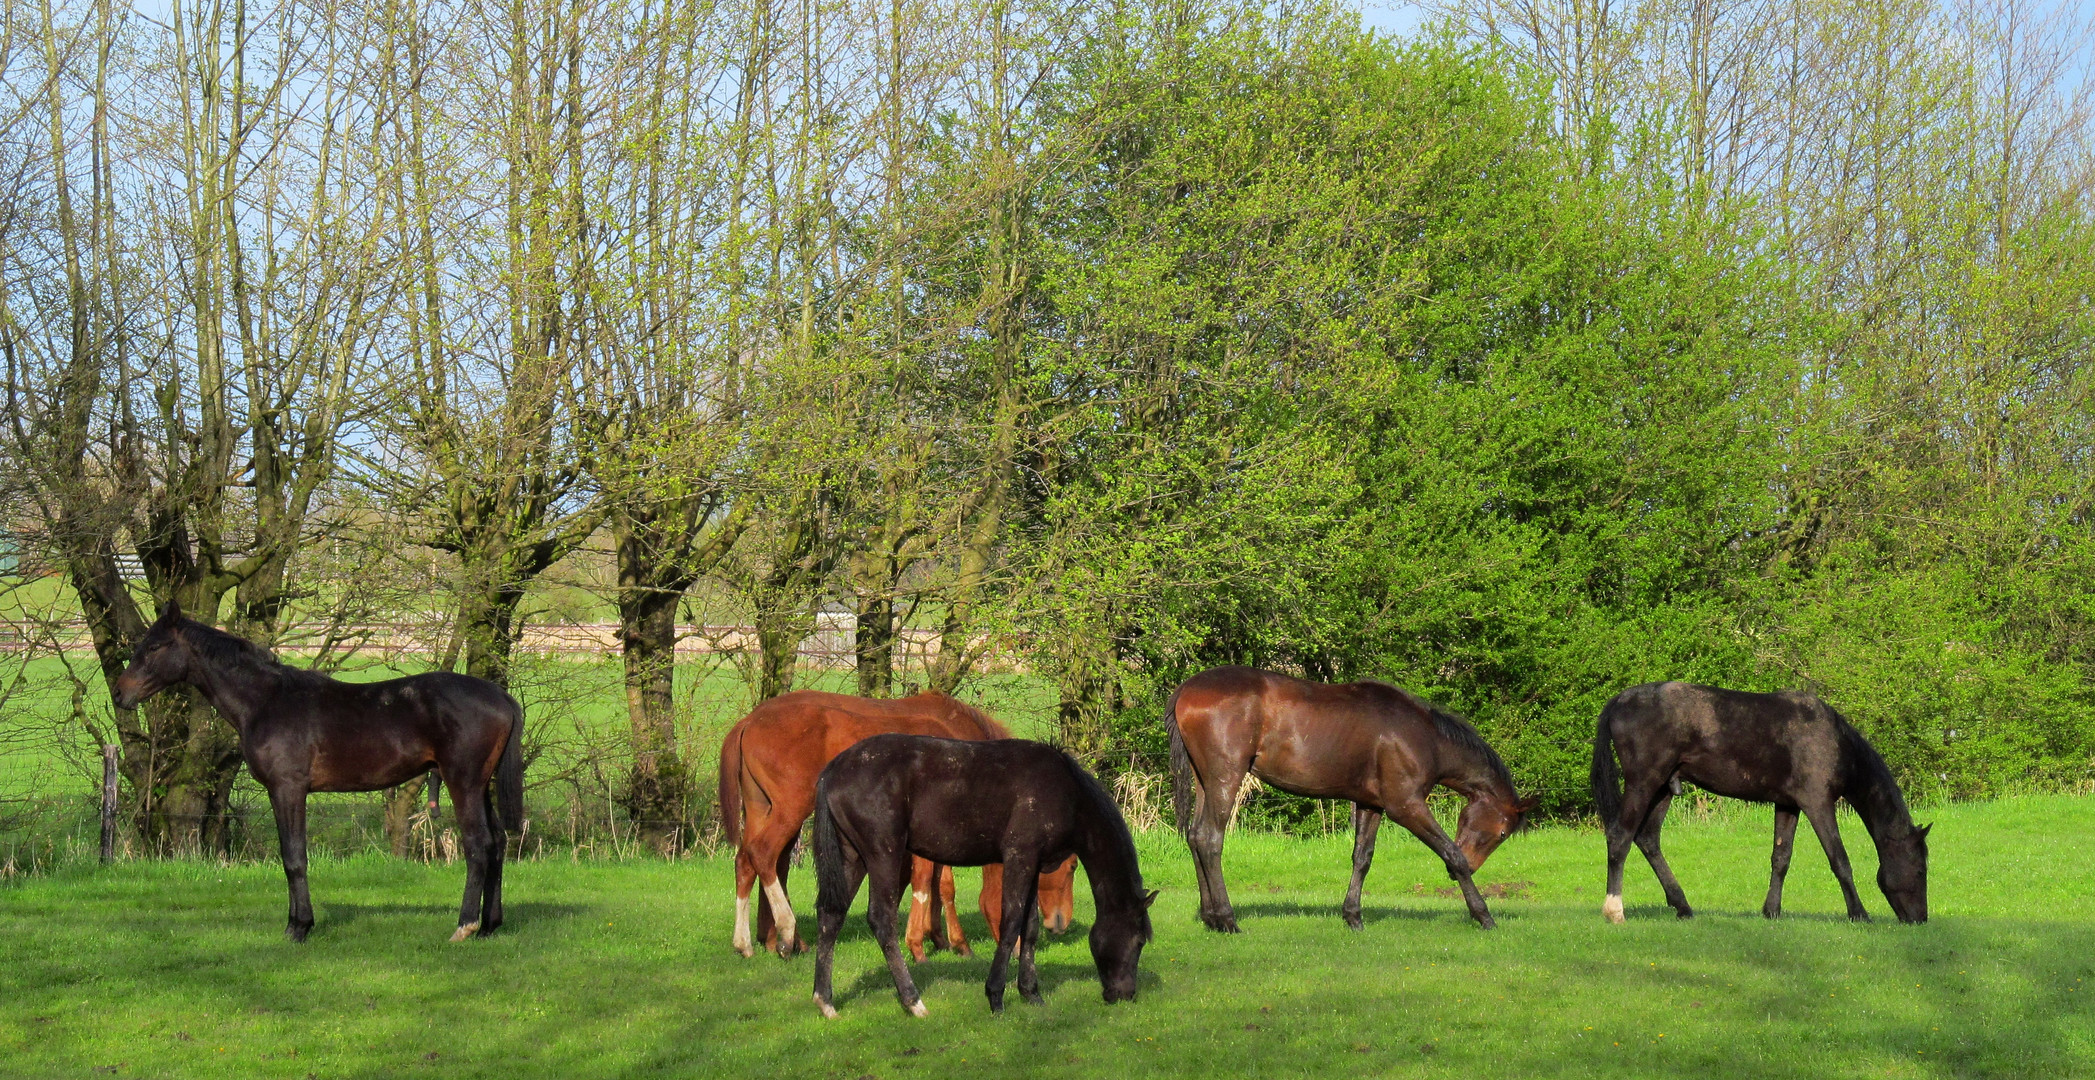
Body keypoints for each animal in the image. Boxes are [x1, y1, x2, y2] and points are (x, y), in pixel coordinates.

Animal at [112, 602, 532, 941]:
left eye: (154, 647)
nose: (119, 693)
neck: (266, 702)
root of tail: (500, 696)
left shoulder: (288, 789)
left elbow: (294, 856)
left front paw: (298, 927)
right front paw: (298, 922)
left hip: (463, 782)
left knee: (478, 845)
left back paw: (465, 926)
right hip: (482, 786)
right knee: (498, 843)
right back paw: (490, 926)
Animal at [720, 686, 1072, 958]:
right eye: (1069, 868)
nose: (1060, 922)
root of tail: (749, 721)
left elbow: (934, 883)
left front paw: (937, 937)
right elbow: (941, 885)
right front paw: (952, 942)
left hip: (760, 809)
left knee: (748, 862)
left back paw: (751, 942)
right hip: (790, 810)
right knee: (764, 855)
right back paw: (785, 933)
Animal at [808, 732, 1156, 1021]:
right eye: (1138, 940)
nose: (1125, 994)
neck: (1065, 791)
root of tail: (832, 770)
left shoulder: (1033, 865)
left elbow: (1029, 929)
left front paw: (1031, 994)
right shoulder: (1019, 858)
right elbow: (1011, 923)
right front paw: (996, 997)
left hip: (852, 857)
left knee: (831, 916)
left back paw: (826, 1001)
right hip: (883, 856)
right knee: (881, 920)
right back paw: (913, 1001)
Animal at [1164, 661, 1541, 933]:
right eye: (1502, 833)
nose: (1469, 868)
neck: (1424, 737)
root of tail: (1186, 689)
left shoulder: (1371, 804)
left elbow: (1362, 857)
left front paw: (1353, 916)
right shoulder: (1405, 806)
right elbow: (1451, 852)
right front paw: (1484, 915)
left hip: (1205, 781)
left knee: (1195, 837)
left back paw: (1210, 917)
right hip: (1225, 777)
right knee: (1210, 839)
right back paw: (1227, 919)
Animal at [1583, 682, 1927, 920]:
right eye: (1921, 870)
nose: (1920, 919)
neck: (1832, 739)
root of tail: (1619, 701)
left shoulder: (1788, 805)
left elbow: (1781, 858)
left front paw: (1771, 910)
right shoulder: (1818, 804)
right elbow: (1839, 860)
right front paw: (1859, 913)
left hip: (1662, 789)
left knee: (1648, 839)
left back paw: (1683, 906)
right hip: (1643, 783)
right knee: (1620, 837)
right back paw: (1615, 910)